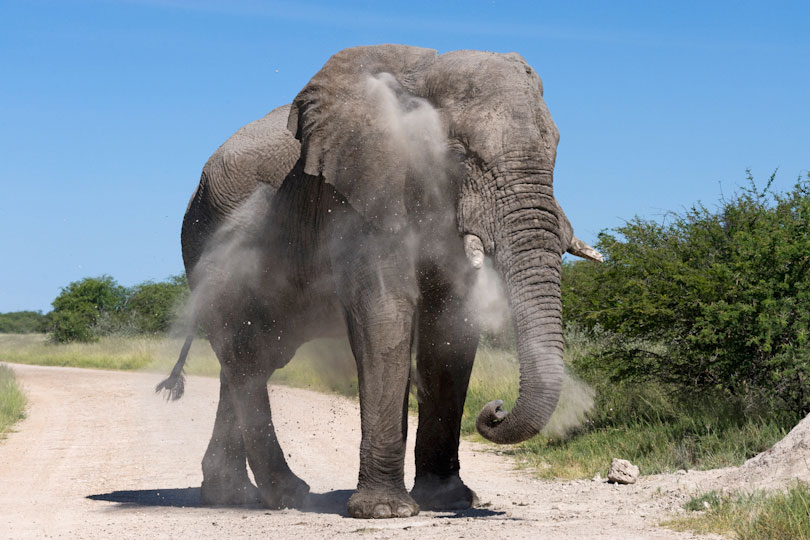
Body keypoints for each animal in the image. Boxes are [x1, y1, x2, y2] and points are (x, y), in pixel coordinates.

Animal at [156, 45, 600, 520]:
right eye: (459, 155)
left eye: (555, 152)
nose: (495, 409)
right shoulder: (358, 198)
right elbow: (386, 315)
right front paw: (386, 511)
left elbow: (451, 326)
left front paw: (448, 499)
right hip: (204, 236)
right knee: (245, 354)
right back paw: (285, 495)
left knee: (250, 355)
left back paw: (232, 494)